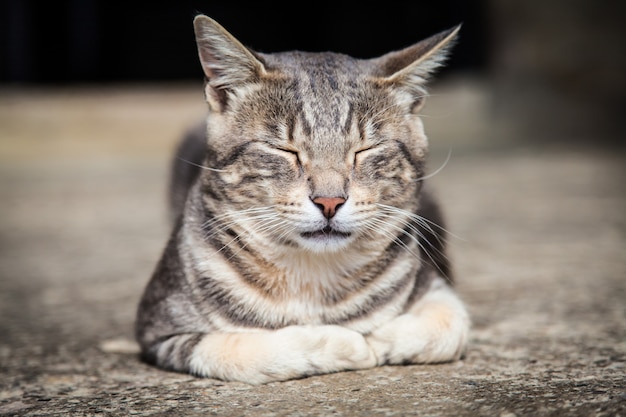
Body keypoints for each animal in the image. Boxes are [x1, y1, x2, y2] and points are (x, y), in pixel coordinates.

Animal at [136, 13, 468, 384]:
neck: (311, 277)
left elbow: (449, 326)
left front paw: (379, 339)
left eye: (364, 150)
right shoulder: (159, 328)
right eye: (285, 150)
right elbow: (237, 349)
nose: (329, 201)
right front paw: (345, 344)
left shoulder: (436, 284)